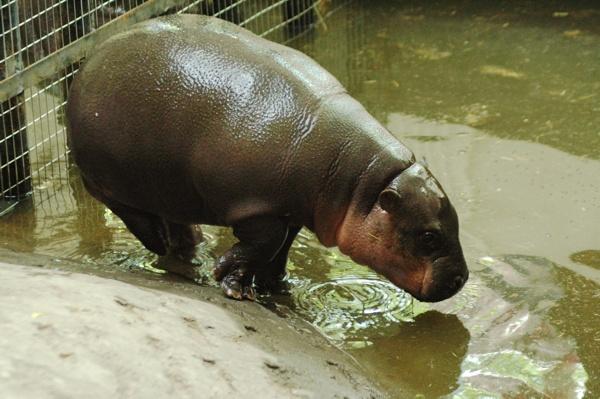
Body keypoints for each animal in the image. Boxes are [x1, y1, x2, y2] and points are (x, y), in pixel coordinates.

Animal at [67, 14, 468, 304]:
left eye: (455, 221)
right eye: (429, 237)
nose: (462, 278)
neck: (362, 178)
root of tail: (88, 61)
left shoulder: (291, 211)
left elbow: (280, 248)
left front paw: (275, 285)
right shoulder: (257, 208)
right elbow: (263, 245)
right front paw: (232, 284)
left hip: (169, 187)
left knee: (176, 222)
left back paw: (192, 247)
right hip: (111, 183)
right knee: (140, 222)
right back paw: (169, 251)